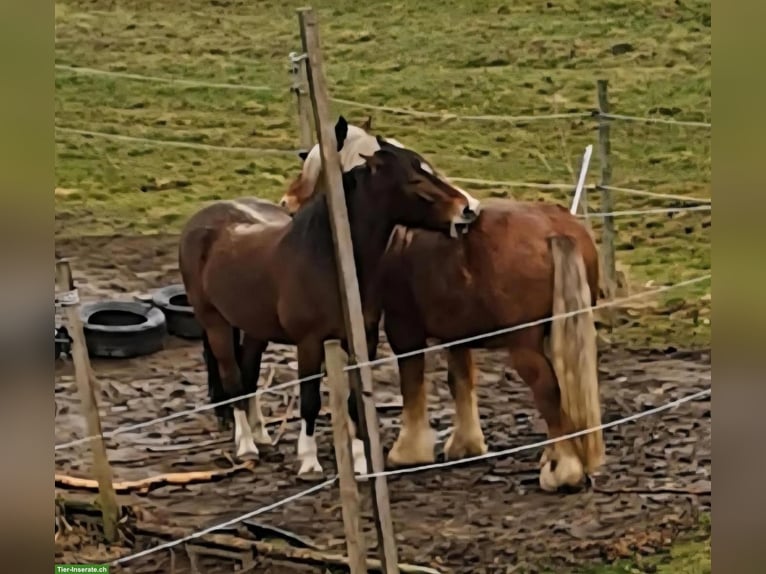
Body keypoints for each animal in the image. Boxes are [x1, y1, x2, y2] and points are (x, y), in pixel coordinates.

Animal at [179, 116, 481, 479]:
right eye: (414, 180)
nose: (468, 209)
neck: (330, 261)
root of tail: (200, 220)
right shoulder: (309, 342)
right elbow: (310, 399)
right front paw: (309, 462)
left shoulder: (362, 339)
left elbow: (353, 401)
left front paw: (360, 462)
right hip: (216, 324)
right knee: (233, 378)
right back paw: (246, 445)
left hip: (254, 328)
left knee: (249, 374)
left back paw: (261, 436)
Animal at [279, 134, 604, 493]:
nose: (287, 203)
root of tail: (556, 230)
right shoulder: (457, 333)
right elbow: (459, 380)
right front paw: (465, 446)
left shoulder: (402, 329)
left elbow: (412, 382)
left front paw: (408, 452)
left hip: (524, 344)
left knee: (547, 389)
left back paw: (563, 471)